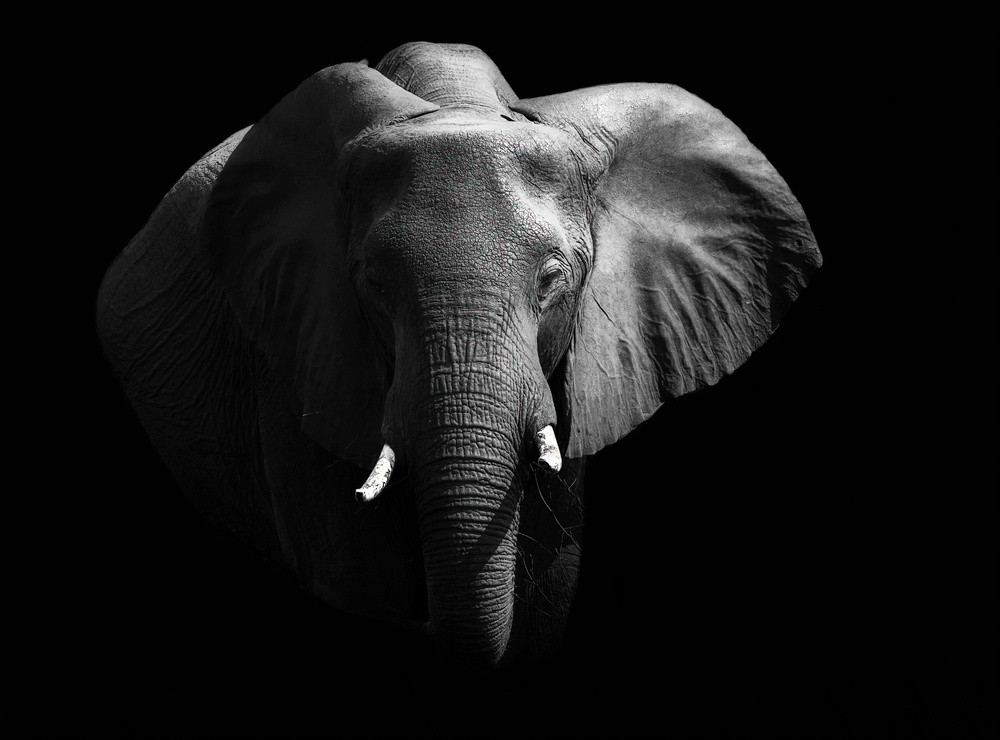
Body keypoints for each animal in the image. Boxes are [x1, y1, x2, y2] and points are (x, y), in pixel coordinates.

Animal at [96, 41, 821, 669]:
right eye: (373, 284)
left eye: (553, 279)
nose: (417, 622)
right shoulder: (300, 352)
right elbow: (350, 579)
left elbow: (546, 596)